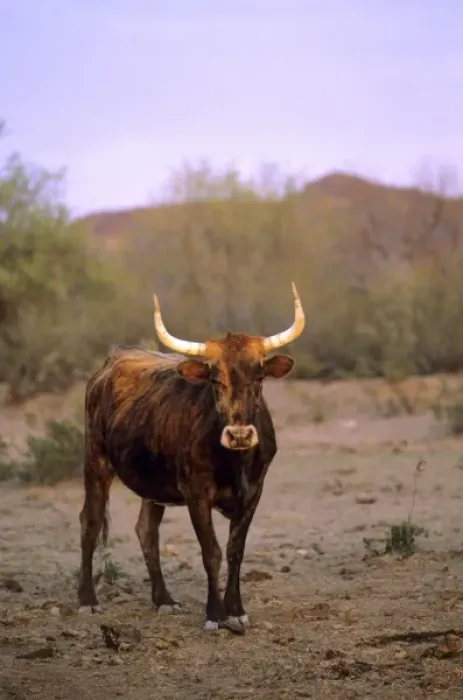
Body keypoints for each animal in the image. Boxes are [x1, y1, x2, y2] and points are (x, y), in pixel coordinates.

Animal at [77, 283, 305, 632]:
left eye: (259, 378)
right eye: (215, 380)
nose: (239, 435)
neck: (235, 462)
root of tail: (112, 360)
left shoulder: (254, 492)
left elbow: (235, 550)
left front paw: (235, 609)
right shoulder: (196, 493)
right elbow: (211, 551)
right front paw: (214, 614)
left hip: (152, 484)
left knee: (146, 531)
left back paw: (163, 600)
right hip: (95, 462)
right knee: (90, 522)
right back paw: (87, 600)